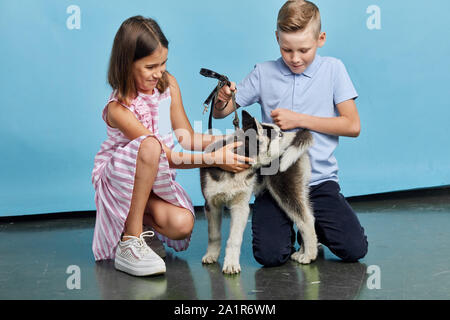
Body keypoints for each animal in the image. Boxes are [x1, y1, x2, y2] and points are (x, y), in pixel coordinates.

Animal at [199, 110, 318, 276]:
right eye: (279, 134)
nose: (296, 135)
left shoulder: (241, 207)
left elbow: (234, 239)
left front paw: (231, 264)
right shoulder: (211, 204)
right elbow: (214, 235)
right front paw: (211, 255)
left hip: (285, 189)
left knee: (306, 220)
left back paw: (309, 255)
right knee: (303, 218)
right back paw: (302, 252)